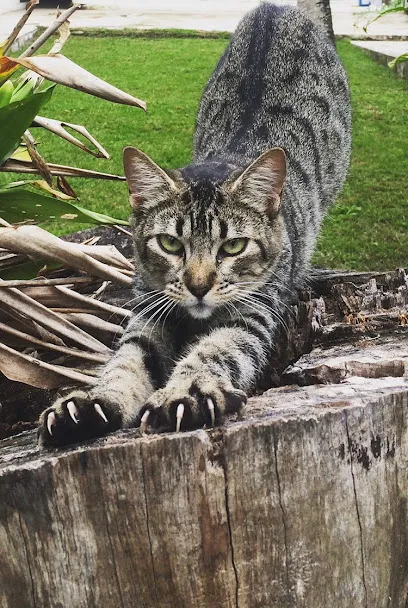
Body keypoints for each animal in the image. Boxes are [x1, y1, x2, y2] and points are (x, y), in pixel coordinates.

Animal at [38, 2, 350, 444]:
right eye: (170, 244)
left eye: (233, 246)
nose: (199, 286)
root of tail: (278, 8)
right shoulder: (149, 310)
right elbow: (127, 360)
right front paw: (92, 402)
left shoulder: (250, 313)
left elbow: (216, 350)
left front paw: (184, 394)